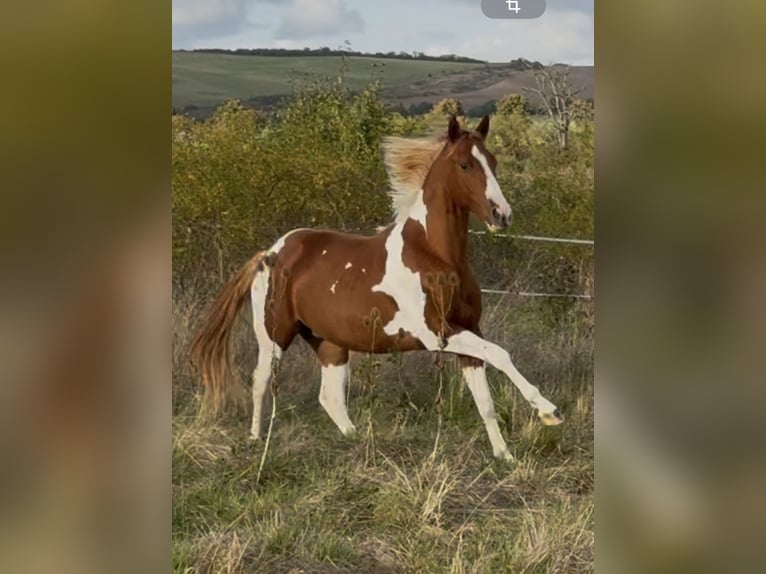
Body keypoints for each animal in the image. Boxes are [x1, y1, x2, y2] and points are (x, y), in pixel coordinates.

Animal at [190, 114, 563, 461]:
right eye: (465, 164)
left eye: (494, 161)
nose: (502, 215)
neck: (435, 256)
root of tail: (269, 253)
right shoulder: (437, 333)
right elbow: (501, 354)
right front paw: (549, 412)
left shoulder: (468, 330)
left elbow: (485, 398)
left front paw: (505, 456)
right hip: (275, 335)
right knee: (260, 381)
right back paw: (255, 440)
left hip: (330, 343)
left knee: (329, 397)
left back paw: (359, 440)